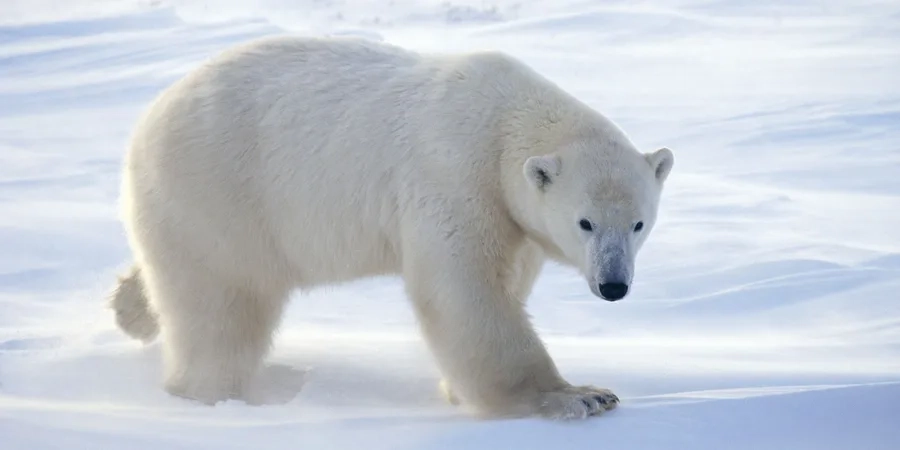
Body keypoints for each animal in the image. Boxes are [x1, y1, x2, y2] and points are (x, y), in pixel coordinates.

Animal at [107, 34, 676, 418]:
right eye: (585, 222)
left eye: (638, 223)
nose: (613, 285)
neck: (505, 123)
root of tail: (148, 120)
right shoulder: (454, 176)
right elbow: (464, 292)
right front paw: (579, 395)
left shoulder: (512, 215)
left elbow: (508, 278)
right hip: (220, 191)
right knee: (221, 306)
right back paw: (209, 392)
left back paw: (129, 307)